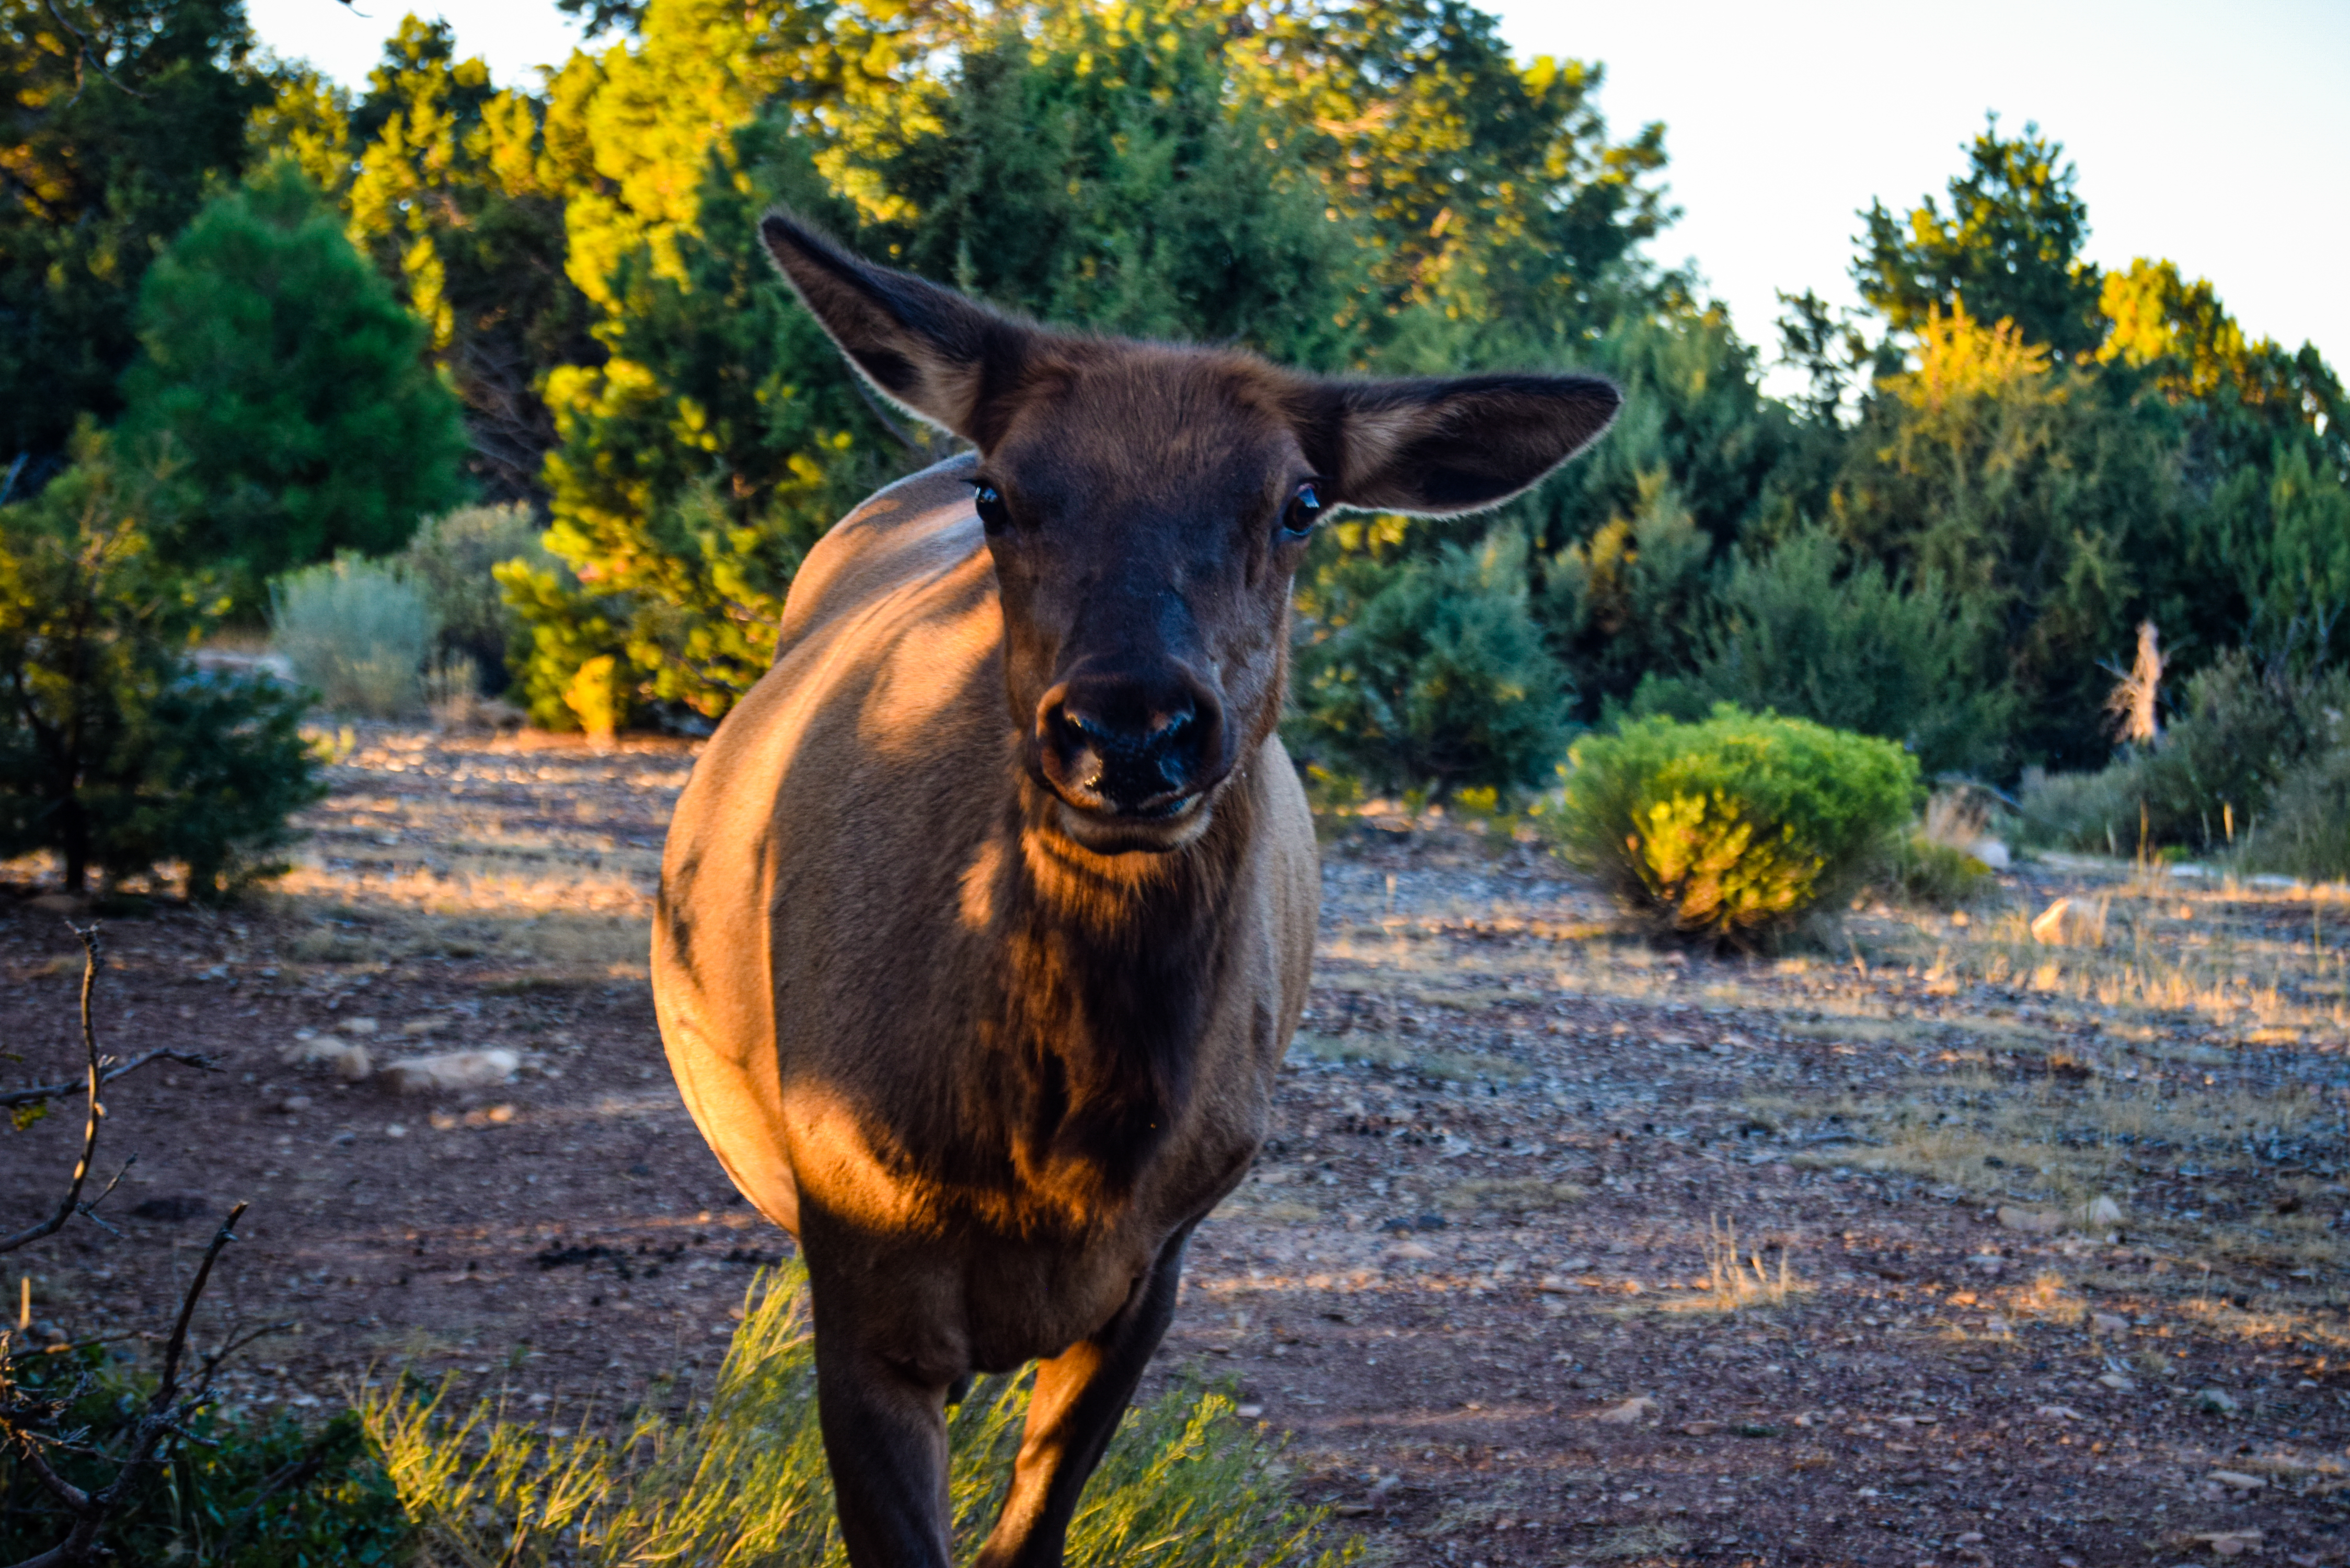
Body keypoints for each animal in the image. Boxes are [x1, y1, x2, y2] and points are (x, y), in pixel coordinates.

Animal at [650, 211, 1619, 1568]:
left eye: (1300, 503)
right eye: (999, 490)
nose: (1132, 730)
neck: (1049, 1150)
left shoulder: (1158, 1259)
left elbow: (1031, 1534)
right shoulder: (857, 1258)